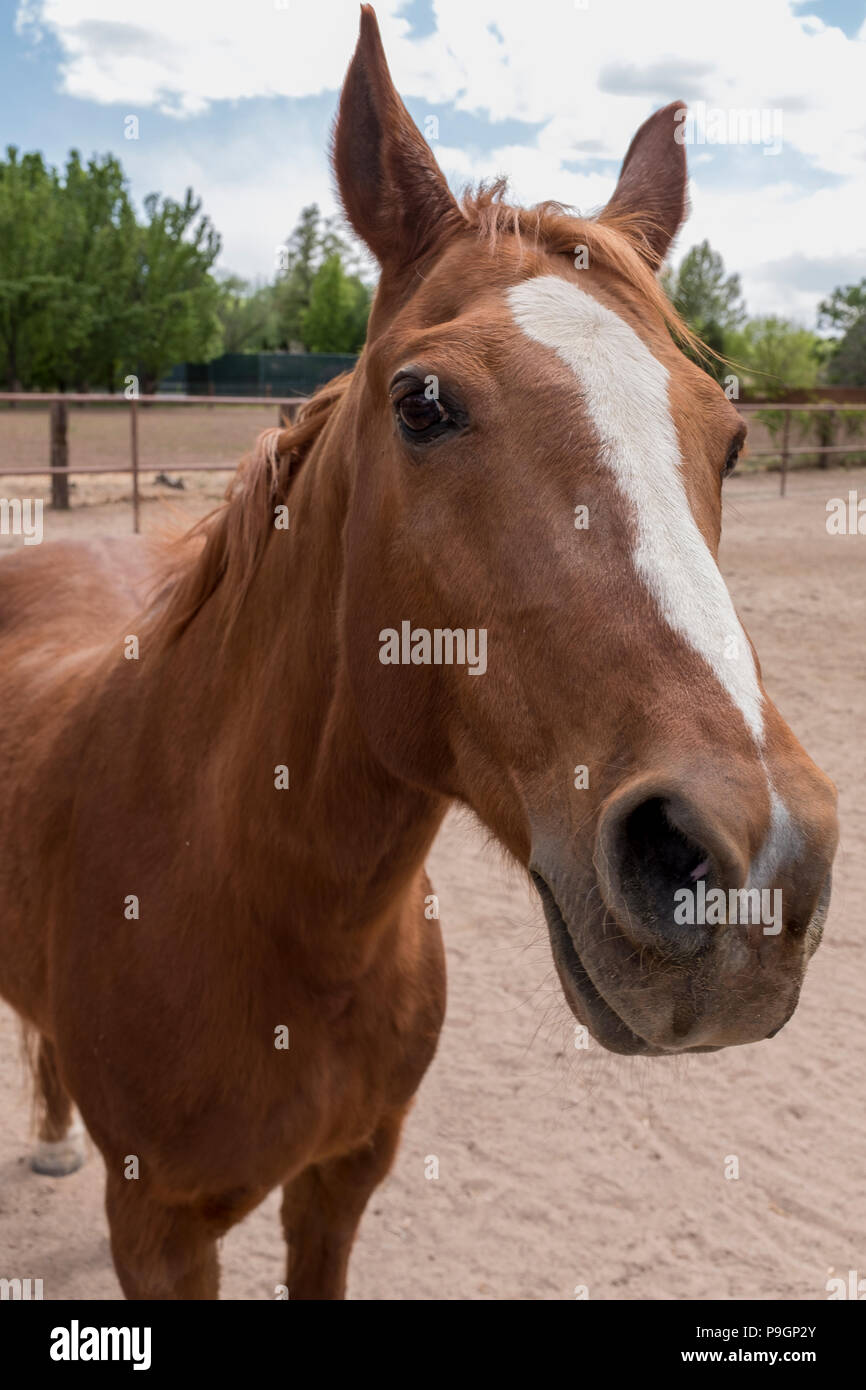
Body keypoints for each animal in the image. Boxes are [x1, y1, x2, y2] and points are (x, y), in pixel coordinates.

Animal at [0, 5, 838, 1299]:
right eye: (422, 404)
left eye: (732, 439)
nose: (755, 870)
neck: (274, 913)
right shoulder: (159, 1229)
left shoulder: (344, 1180)